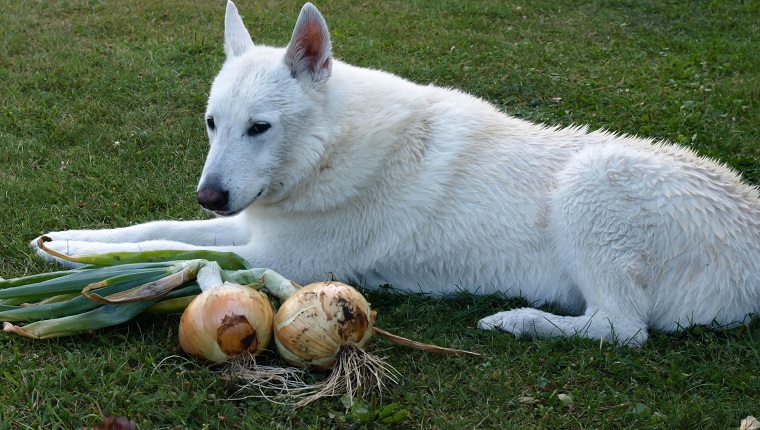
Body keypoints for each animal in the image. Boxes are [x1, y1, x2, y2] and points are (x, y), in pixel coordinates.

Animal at [34, 0, 760, 346]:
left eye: (259, 128)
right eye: (213, 124)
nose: (210, 193)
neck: (329, 149)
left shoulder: (281, 255)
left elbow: (168, 251)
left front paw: (81, 262)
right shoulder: (252, 227)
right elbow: (155, 230)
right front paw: (67, 244)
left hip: (590, 182)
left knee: (623, 330)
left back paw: (518, 321)